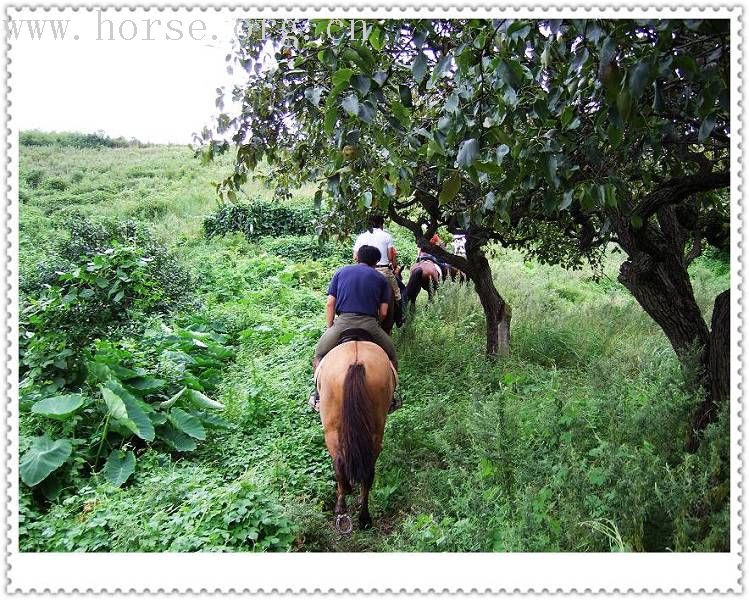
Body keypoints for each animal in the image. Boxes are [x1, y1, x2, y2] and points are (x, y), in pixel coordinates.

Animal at [316, 342, 398, 528]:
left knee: (340, 464)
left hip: (331, 430)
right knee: (366, 471)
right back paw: (364, 517)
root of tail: (356, 362)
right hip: (373, 431)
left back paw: (343, 506)